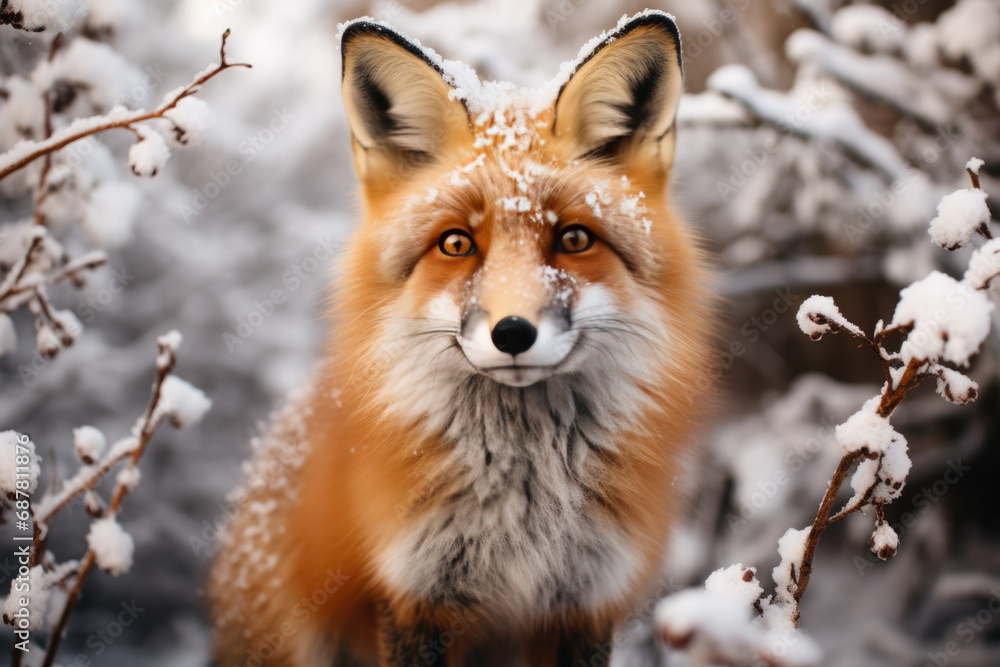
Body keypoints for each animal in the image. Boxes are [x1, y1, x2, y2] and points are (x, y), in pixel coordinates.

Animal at [210, 10, 715, 667]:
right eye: (456, 243)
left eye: (574, 239)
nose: (513, 332)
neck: (528, 507)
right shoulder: (413, 594)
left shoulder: (583, 600)